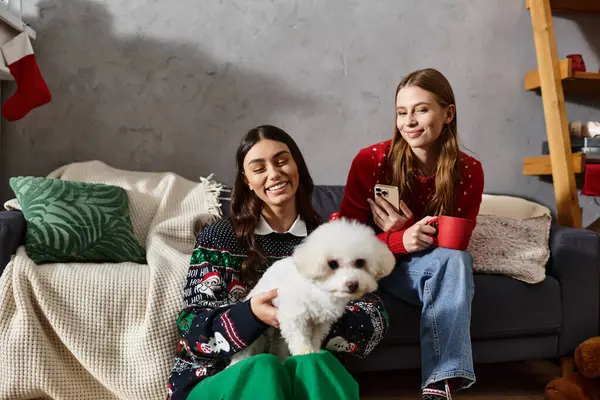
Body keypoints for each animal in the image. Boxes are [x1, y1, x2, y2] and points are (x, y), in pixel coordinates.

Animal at [227, 217, 396, 368]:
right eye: (332, 264)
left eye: (360, 262)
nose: (352, 284)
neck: (321, 292)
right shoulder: (294, 315)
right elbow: (299, 336)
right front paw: (304, 352)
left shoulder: (321, 323)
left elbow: (315, 337)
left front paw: (314, 350)